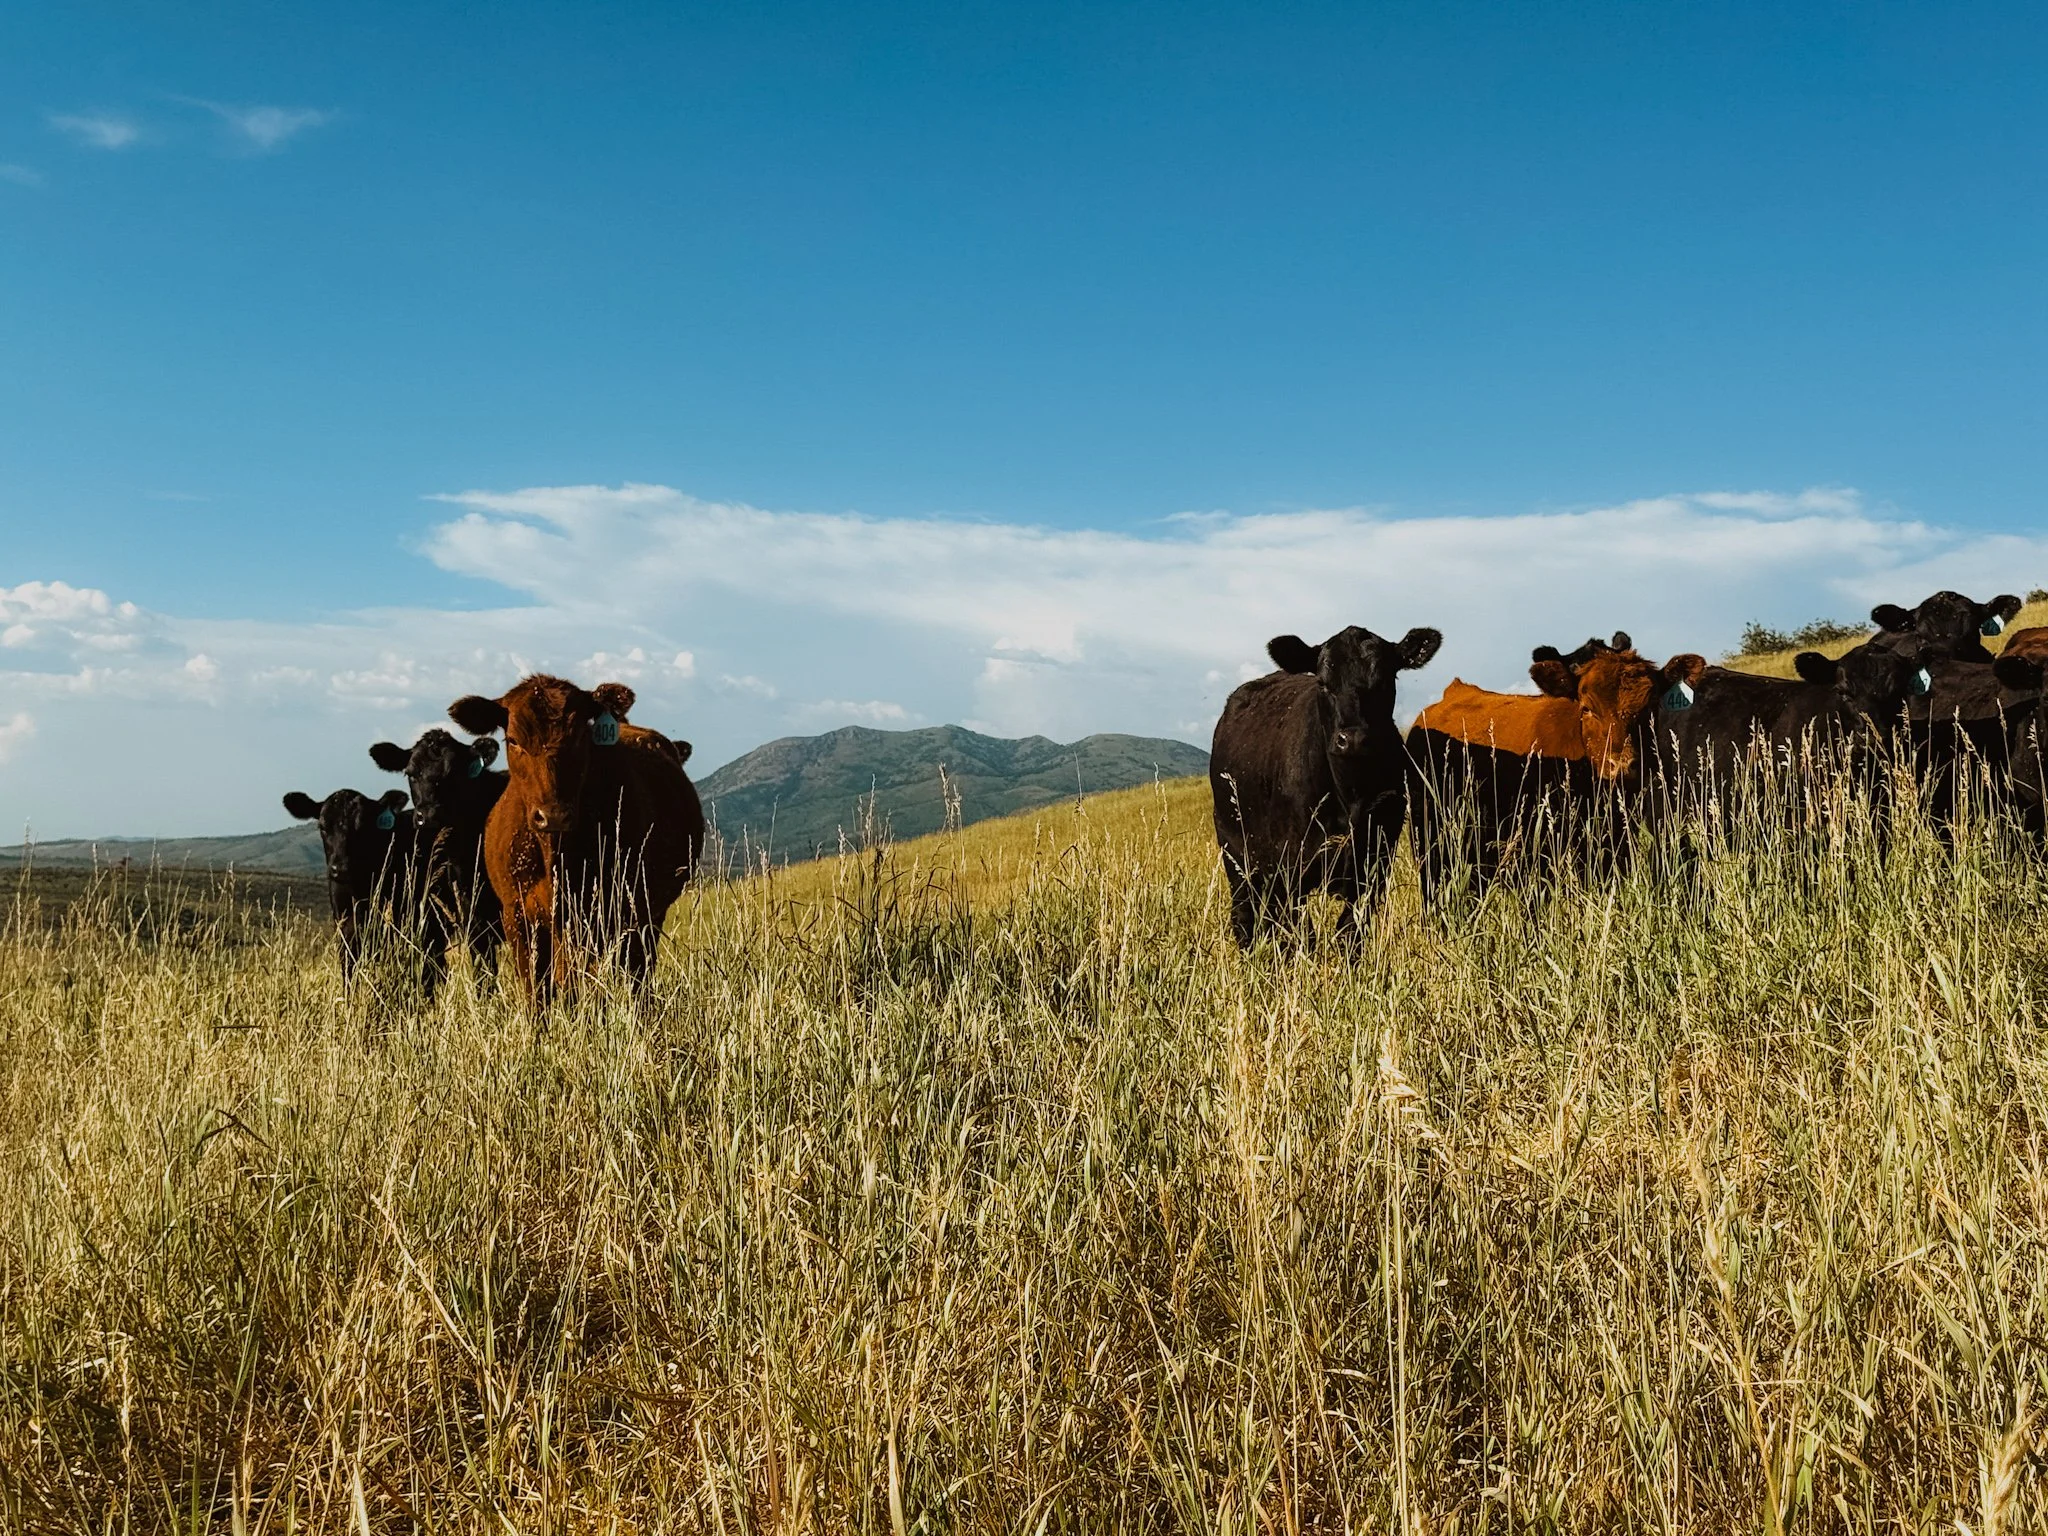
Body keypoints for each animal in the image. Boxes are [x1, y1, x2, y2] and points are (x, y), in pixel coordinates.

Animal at [447, 676, 706, 1005]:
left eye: (581, 736)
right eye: (513, 740)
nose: (553, 815)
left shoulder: (606, 914)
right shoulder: (517, 918)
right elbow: (538, 994)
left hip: (645, 916)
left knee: (638, 973)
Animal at [1209, 623, 1442, 948]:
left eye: (1386, 679)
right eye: (1323, 682)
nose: (1353, 739)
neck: (1350, 794)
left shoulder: (1374, 859)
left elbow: (1350, 931)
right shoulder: (1291, 863)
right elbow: (1302, 935)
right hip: (1234, 847)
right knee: (1245, 916)